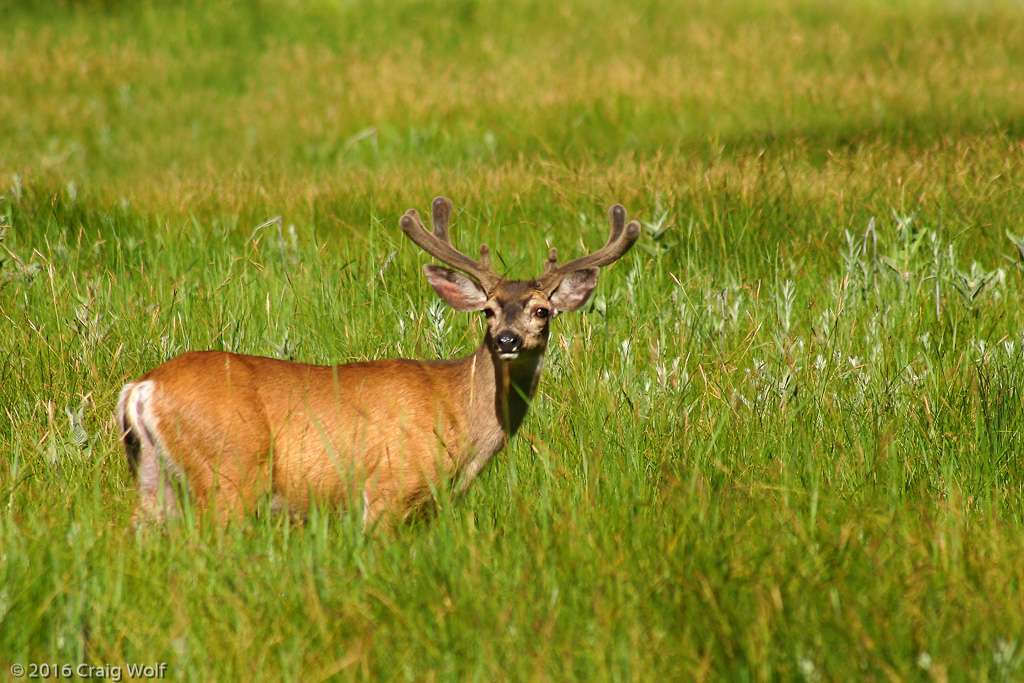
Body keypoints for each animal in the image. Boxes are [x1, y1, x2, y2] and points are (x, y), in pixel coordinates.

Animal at [114, 197, 638, 528]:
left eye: (542, 310)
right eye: (488, 310)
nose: (507, 339)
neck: (459, 417)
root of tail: (143, 387)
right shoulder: (389, 486)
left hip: (153, 475)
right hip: (230, 471)